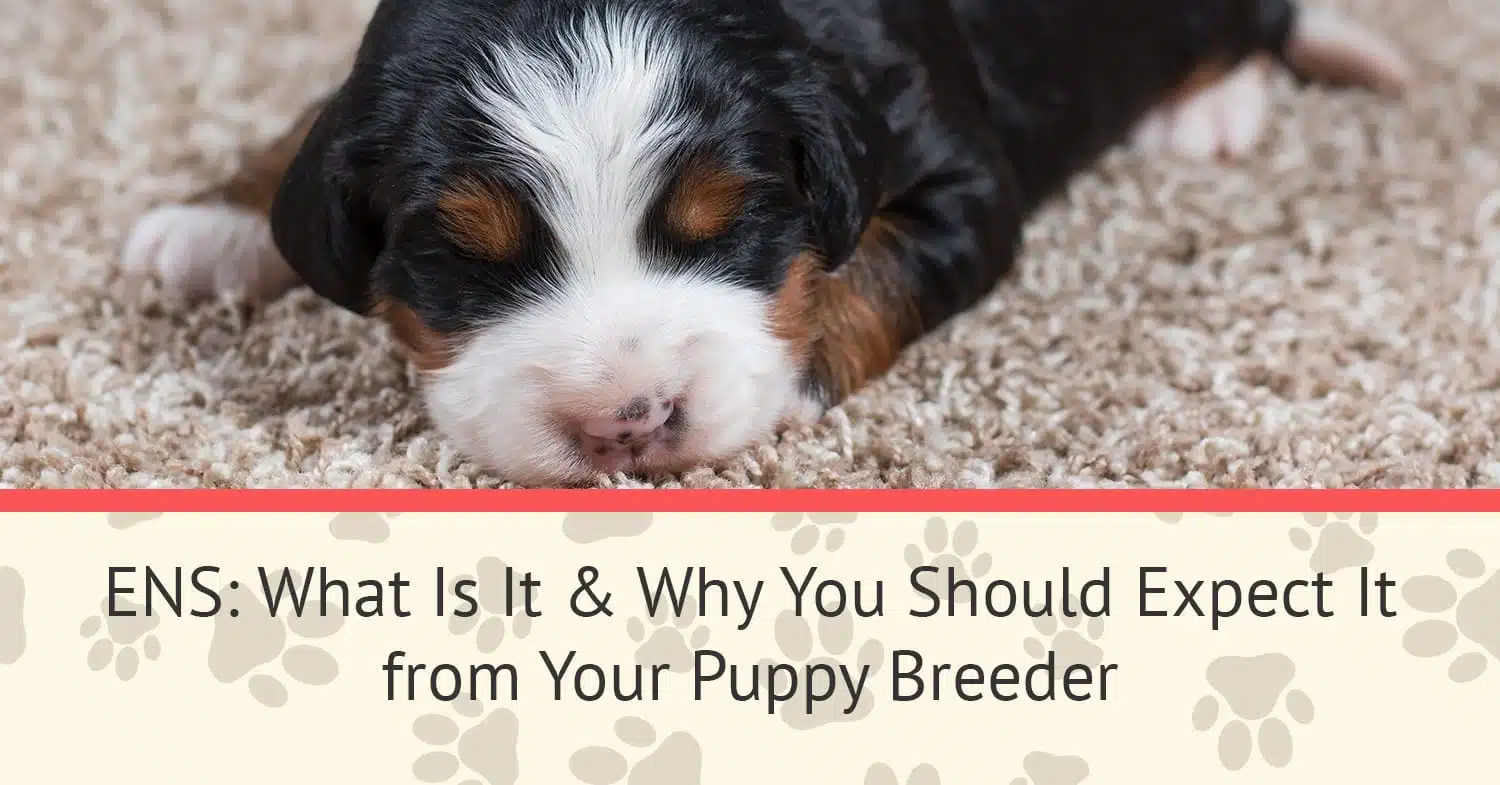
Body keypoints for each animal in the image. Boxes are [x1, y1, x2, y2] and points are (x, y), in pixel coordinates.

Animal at [117, 0, 1404, 489]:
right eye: (468, 258)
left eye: (727, 226)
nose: (626, 423)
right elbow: (316, 119)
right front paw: (219, 214)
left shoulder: (958, 179)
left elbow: (866, 270)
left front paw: (777, 378)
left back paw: (1215, 105)